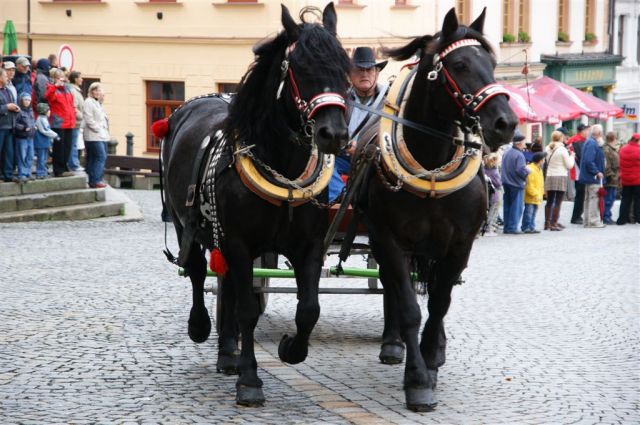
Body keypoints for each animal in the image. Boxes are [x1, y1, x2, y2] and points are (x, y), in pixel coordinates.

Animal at [160, 4, 350, 408]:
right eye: (300, 68)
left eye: (344, 68)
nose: (334, 134)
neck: (282, 166)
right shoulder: (239, 243)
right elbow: (247, 309)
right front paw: (249, 379)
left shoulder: (309, 246)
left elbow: (308, 309)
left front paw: (291, 347)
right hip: (189, 225)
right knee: (198, 272)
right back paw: (201, 327)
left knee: (227, 283)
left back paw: (227, 352)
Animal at [356, 7, 520, 410]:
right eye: (459, 65)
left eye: (492, 63)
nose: (505, 122)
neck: (430, 165)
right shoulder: (390, 241)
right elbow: (410, 308)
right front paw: (416, 380)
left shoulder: (459, 245)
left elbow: (440, 303)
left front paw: (431, 360)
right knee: (393, 289)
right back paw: (393, 344)